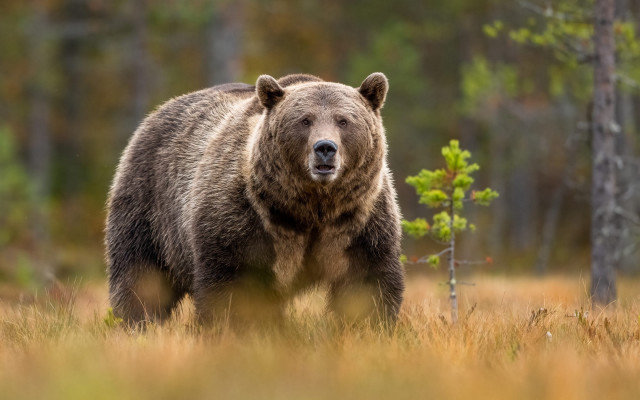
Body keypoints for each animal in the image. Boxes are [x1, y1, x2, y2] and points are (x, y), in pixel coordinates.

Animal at [105, 72, 404, 328]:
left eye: (343, 121)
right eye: (305, 120)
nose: (325, 148)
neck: (310, 207)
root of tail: (155, 113)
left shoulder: (358, 220)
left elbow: (366, 282)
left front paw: (368, 326)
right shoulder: (245, 216)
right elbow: (234, 285)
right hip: (150, 204)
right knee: (141, 274)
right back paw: (135, 322)